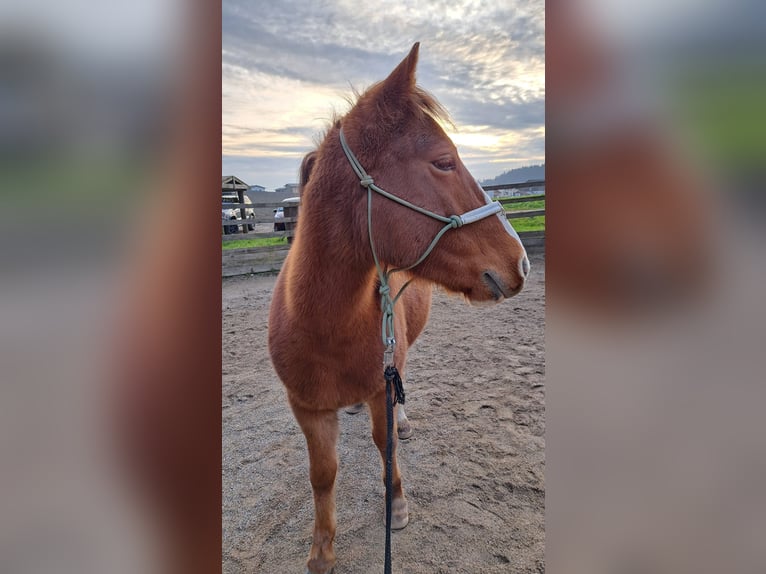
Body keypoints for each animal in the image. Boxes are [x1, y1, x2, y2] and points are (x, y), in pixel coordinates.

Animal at [268, 45, 528, 574]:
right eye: (444, 162)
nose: (522, 262)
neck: (323, 324)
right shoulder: (305, 407)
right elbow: (322, 474)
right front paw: (322, 549)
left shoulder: (379, 387)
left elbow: (384, 443)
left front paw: (398, 503)